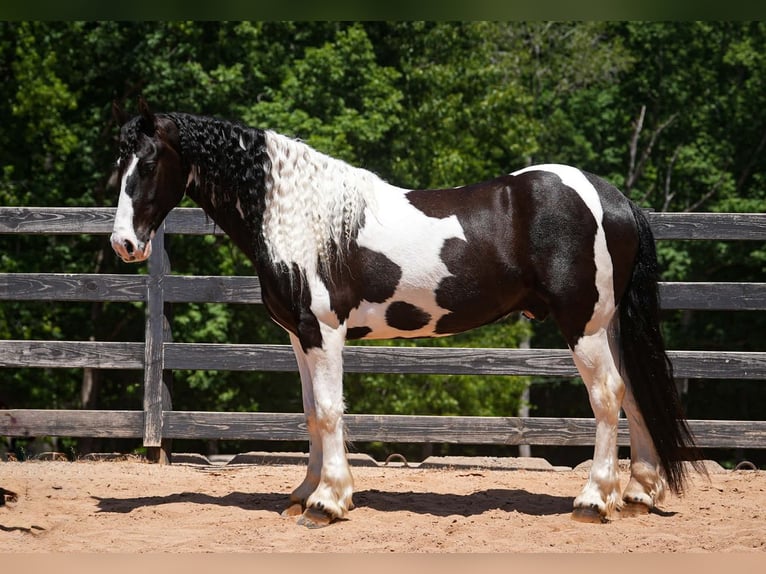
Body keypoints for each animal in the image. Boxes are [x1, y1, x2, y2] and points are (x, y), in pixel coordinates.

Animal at [109, 97, 702, 527]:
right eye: (119, 164)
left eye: (150, 162)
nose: (123, 245)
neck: (301, 219)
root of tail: (612, 198)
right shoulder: (300, 335)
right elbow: (311, 413)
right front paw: (303, 493)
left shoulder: (324, 331)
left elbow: (330, 411)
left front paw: (327, 503)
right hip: (609, 324)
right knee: (635, 394)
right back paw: (638, 493)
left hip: (583, 324)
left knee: (607, 396)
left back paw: (594, 500)